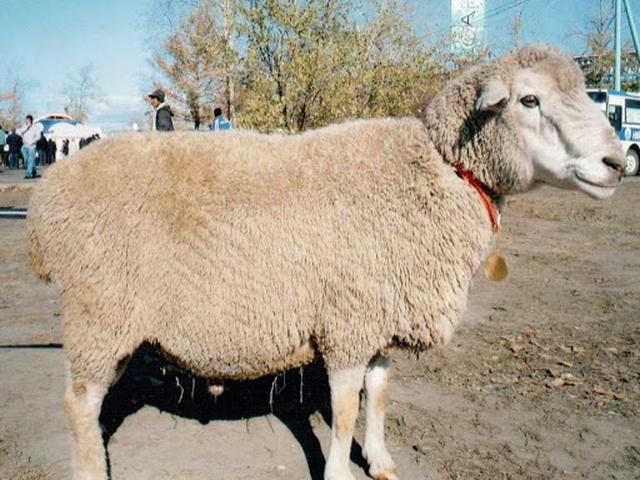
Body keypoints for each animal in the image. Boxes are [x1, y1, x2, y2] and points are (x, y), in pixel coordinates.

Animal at [27, 45, 624, 480]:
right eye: (529, 100)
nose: (619, 162)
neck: (440, 170)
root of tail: (46, 200)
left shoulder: (380, 317)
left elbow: (378, 397)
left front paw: (380, 461)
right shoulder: (347, 321)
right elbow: (343, 412)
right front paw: (339, 472)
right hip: (99, 313)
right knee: (78, 404)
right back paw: (90, 472)